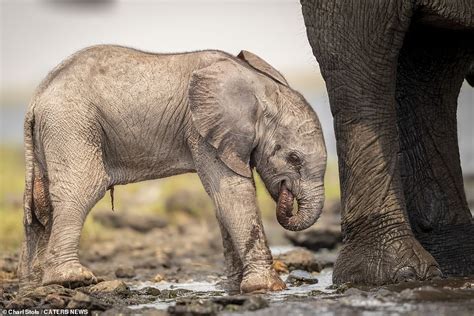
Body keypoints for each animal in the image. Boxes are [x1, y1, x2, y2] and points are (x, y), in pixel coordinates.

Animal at [20, 46, 328, 294]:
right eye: (294, 158)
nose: (286, 196)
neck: (260, 87)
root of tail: (36, 98)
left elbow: (224, 198)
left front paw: (233, 287)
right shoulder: (201, 130)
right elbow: (234, 192)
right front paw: (269, 287)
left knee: (39, 206)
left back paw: (33, 285)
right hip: (72, 123)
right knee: (82, 190)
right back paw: (72, 279)